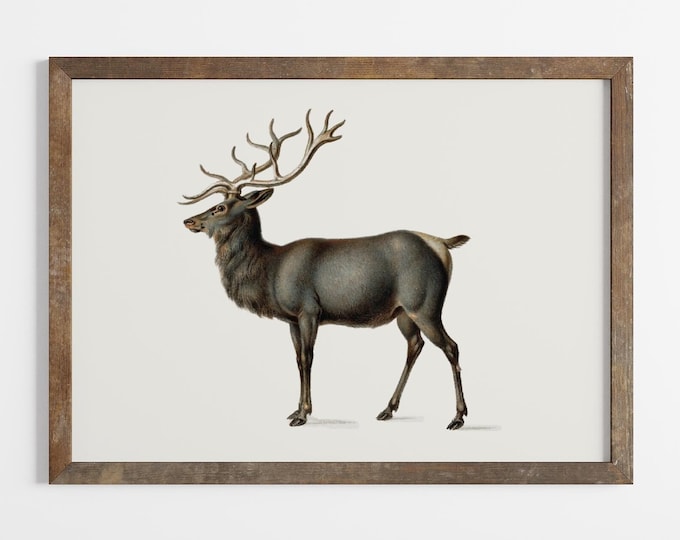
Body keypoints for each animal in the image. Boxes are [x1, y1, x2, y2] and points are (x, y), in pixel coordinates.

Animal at [182, 110, 470, 430]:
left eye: (220, 207)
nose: (189, 220)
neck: (269, 271)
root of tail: (442, 244)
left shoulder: (309, 309)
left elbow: (308, 358)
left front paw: (303, 414)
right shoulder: (291, 318)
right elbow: (297, 359)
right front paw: (295, 409)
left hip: (425, 304)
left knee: (452, 346)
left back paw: (458, 416)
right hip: (404, 312)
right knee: (415, 345)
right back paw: (388, 408)